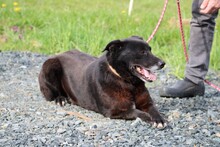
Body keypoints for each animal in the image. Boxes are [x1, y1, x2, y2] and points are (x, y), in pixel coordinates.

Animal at [38, 36, 167, 128]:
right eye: (142, 52)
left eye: (150, 50)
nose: (163, 63)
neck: (128, 82)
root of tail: (60, 54)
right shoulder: (115, 111)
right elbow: (140, 113)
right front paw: (150, 119)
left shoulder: (147, 103)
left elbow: (154, 110)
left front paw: (159, 119)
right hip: (50, 66)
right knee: (52, 94)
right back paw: (60, 99)